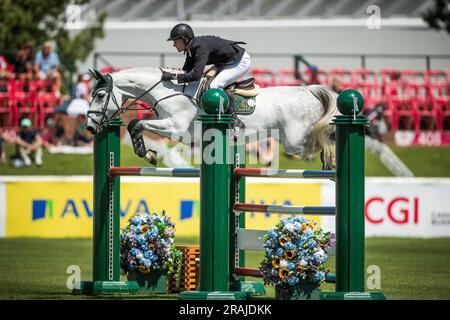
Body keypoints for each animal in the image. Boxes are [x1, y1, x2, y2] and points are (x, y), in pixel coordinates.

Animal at [86, 68, 340, 170]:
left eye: (100, 95)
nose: (90, 127)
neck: (167, 91)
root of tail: (308, 90)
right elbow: (134, 125)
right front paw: (148, 153)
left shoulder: (175, 128)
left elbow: (135, 123)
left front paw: (147, 153)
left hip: (295, 141)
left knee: (322, 139)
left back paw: (331, 161)